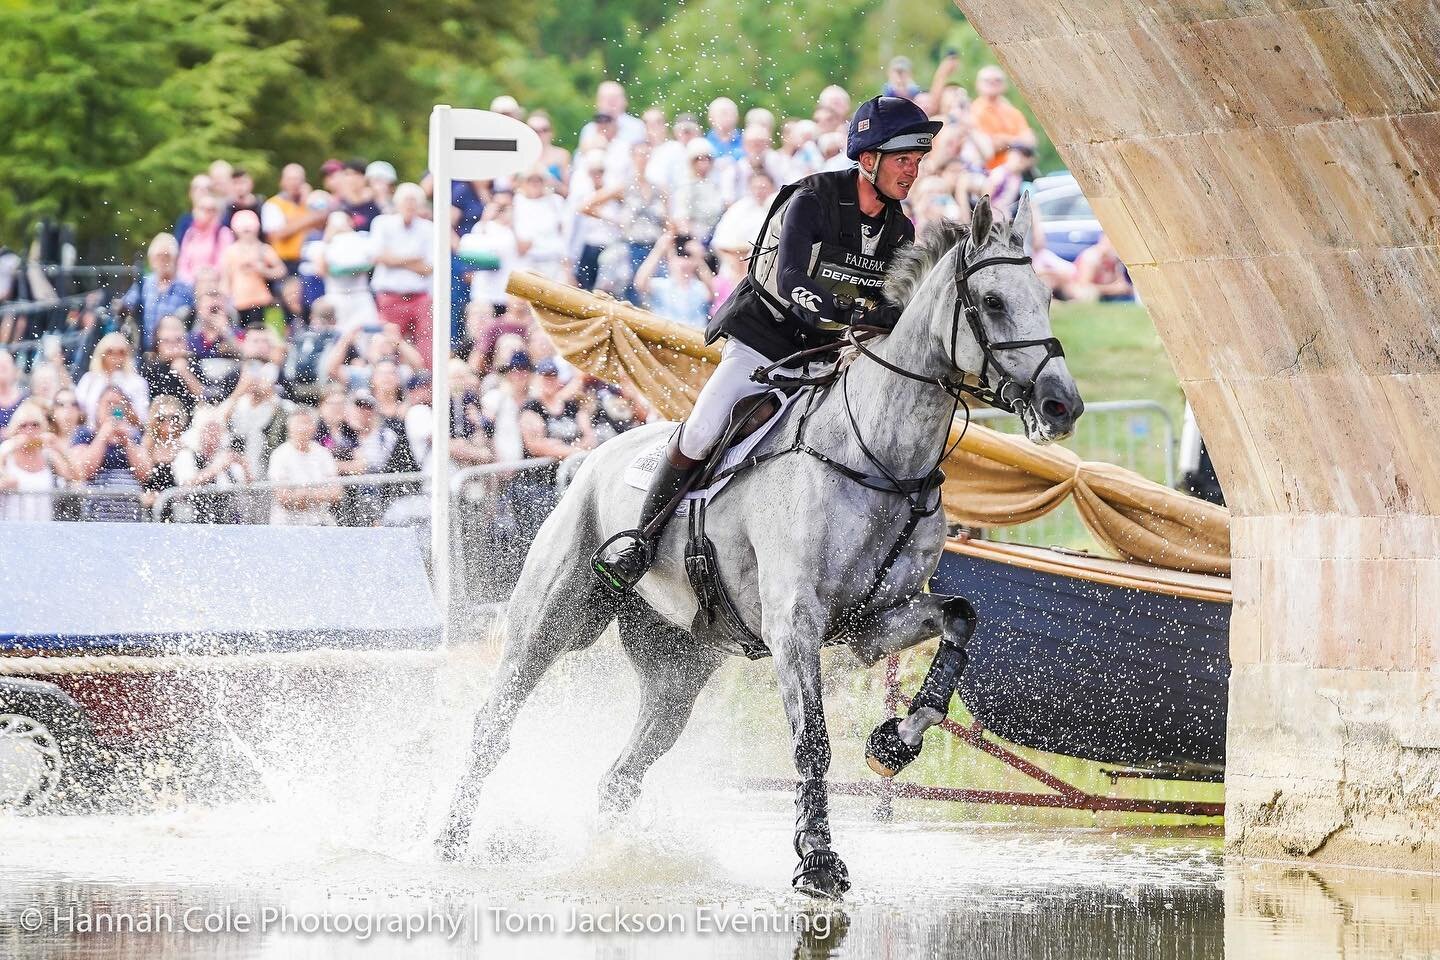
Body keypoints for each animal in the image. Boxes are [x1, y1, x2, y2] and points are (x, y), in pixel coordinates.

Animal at [432, 198, 1082, 898]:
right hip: (555, 621)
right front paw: (818, 861)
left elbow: (960, 618)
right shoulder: (794, 623)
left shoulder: (871, 623)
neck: (883, 461)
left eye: (1045, 296)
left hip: (677, 669)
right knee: (495, 722)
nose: (1062, 405)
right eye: (991, 301)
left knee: (623, 775)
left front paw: (894, 744)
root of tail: (588, 458)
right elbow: (812, 740)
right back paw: (451, 840)